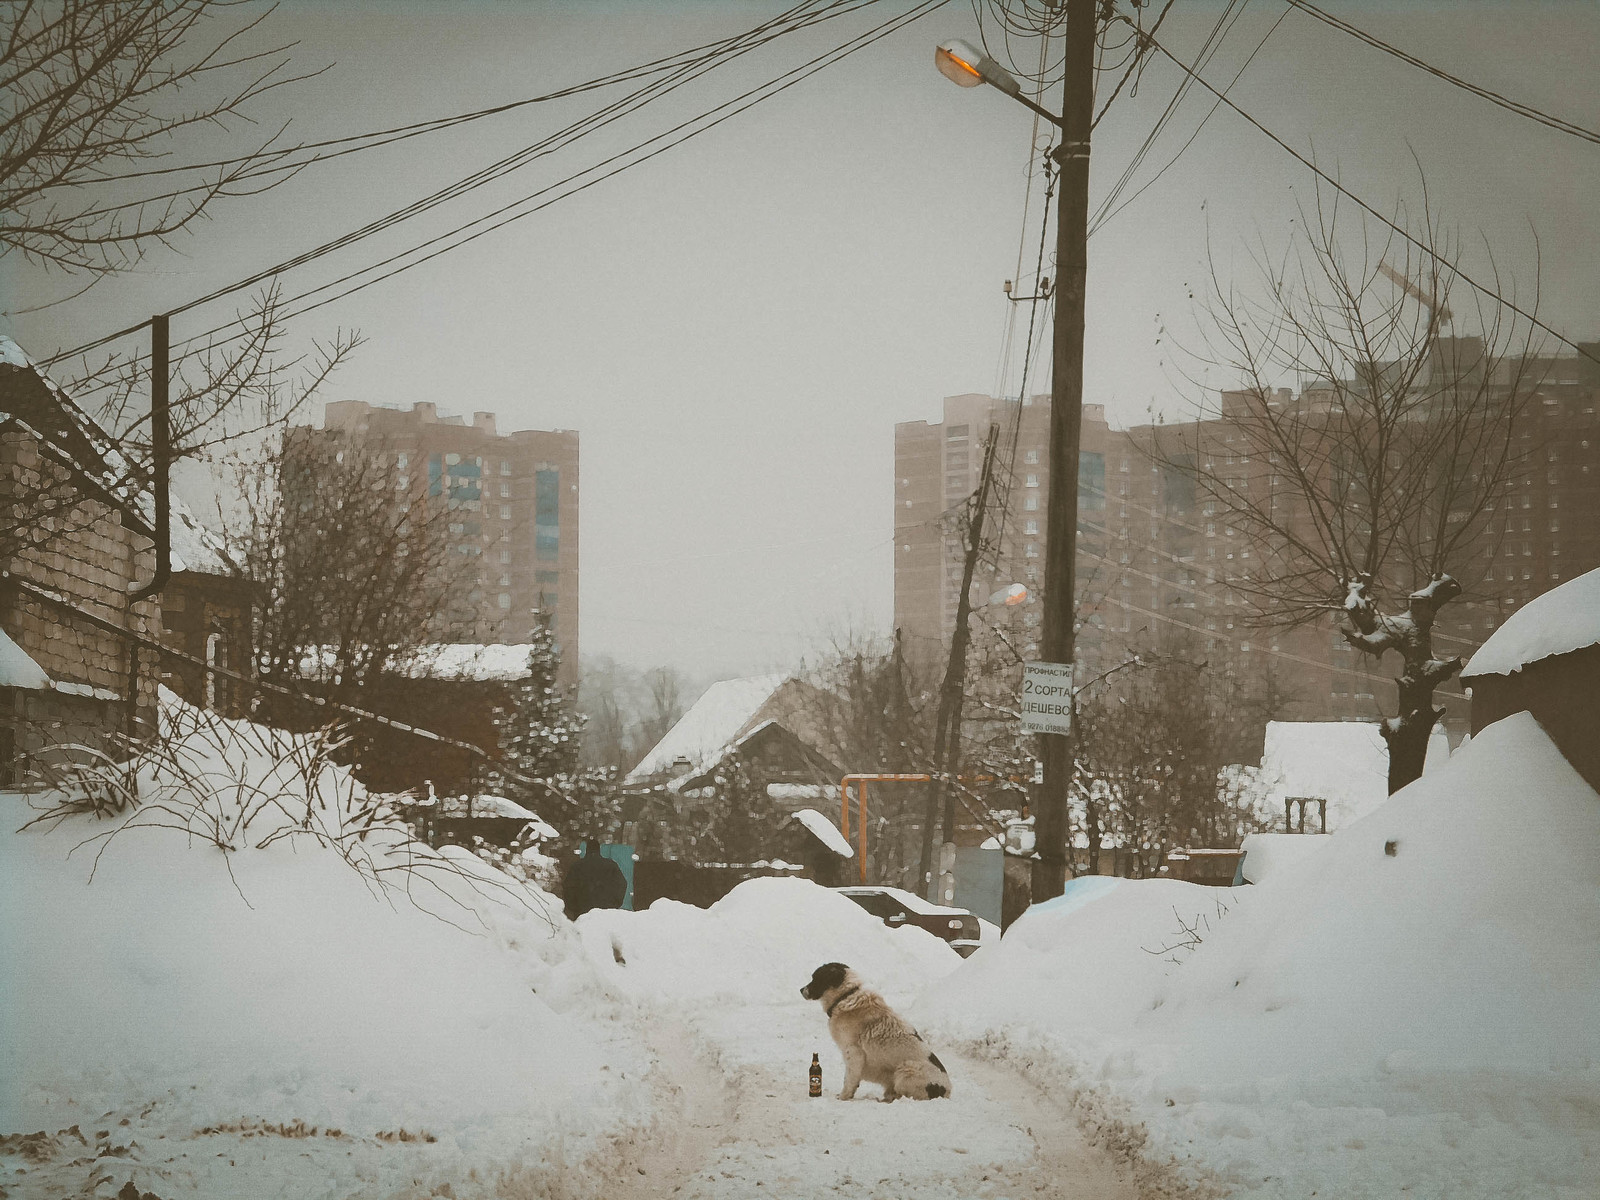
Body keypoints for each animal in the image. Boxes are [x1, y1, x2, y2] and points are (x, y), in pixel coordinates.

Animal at [800, 966, 947, 1107]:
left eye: (816, 978)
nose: (801, 990)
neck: (845, 996)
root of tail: (946, 1091)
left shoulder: (853, 1052)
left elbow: (849, 1079)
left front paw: (843, 1097)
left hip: (905, 1070)